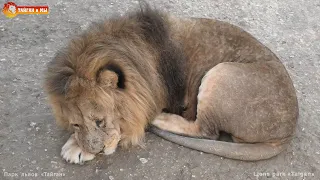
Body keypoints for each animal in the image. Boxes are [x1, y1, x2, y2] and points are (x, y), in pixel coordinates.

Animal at [44, 5, 298, 164]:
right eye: (75, 124)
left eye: (100, 121)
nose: (96, 150)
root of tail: (287, 134)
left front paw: (77, 149)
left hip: (220, 74)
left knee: (207, 131)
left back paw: (161, 118)